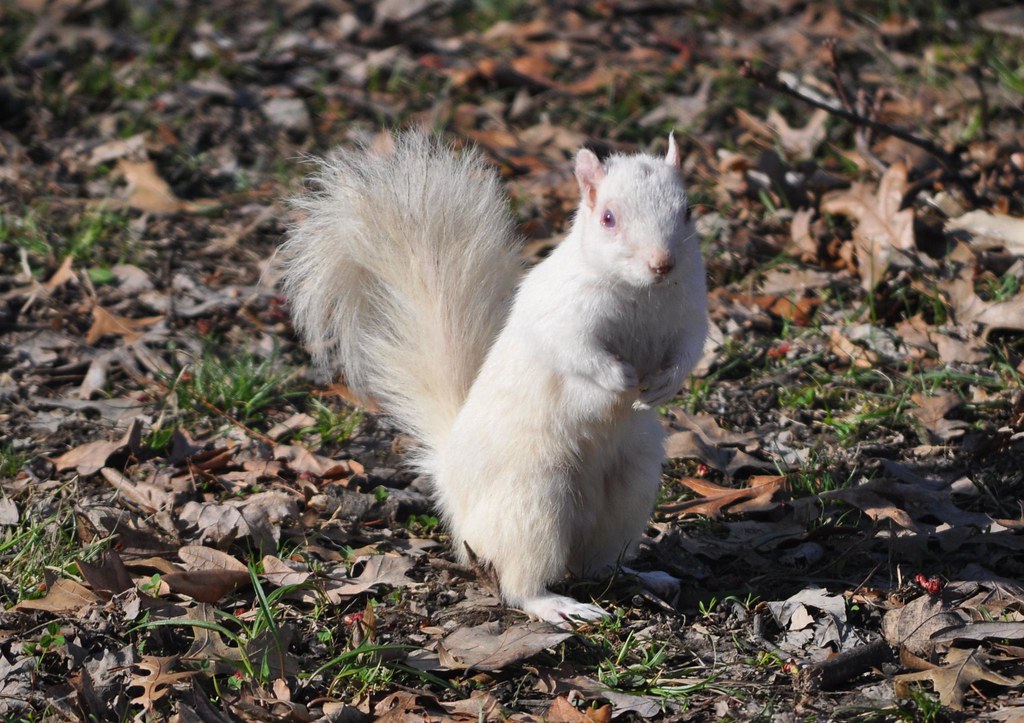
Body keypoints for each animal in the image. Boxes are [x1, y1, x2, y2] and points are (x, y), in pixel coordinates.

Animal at [281, 131, 708, 625]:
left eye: (687, 211)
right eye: (608, 218)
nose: (663, 263)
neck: (643, 296)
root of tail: (453, 490)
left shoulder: (691, 311)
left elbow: (689, 350)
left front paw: (661, 385)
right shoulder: (561, 313)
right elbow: (575, 349)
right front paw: (619, 378)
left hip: (628, 491)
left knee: (597, 563)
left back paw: (642, 576)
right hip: (533, 501)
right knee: (520, 584)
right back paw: (557, 605)